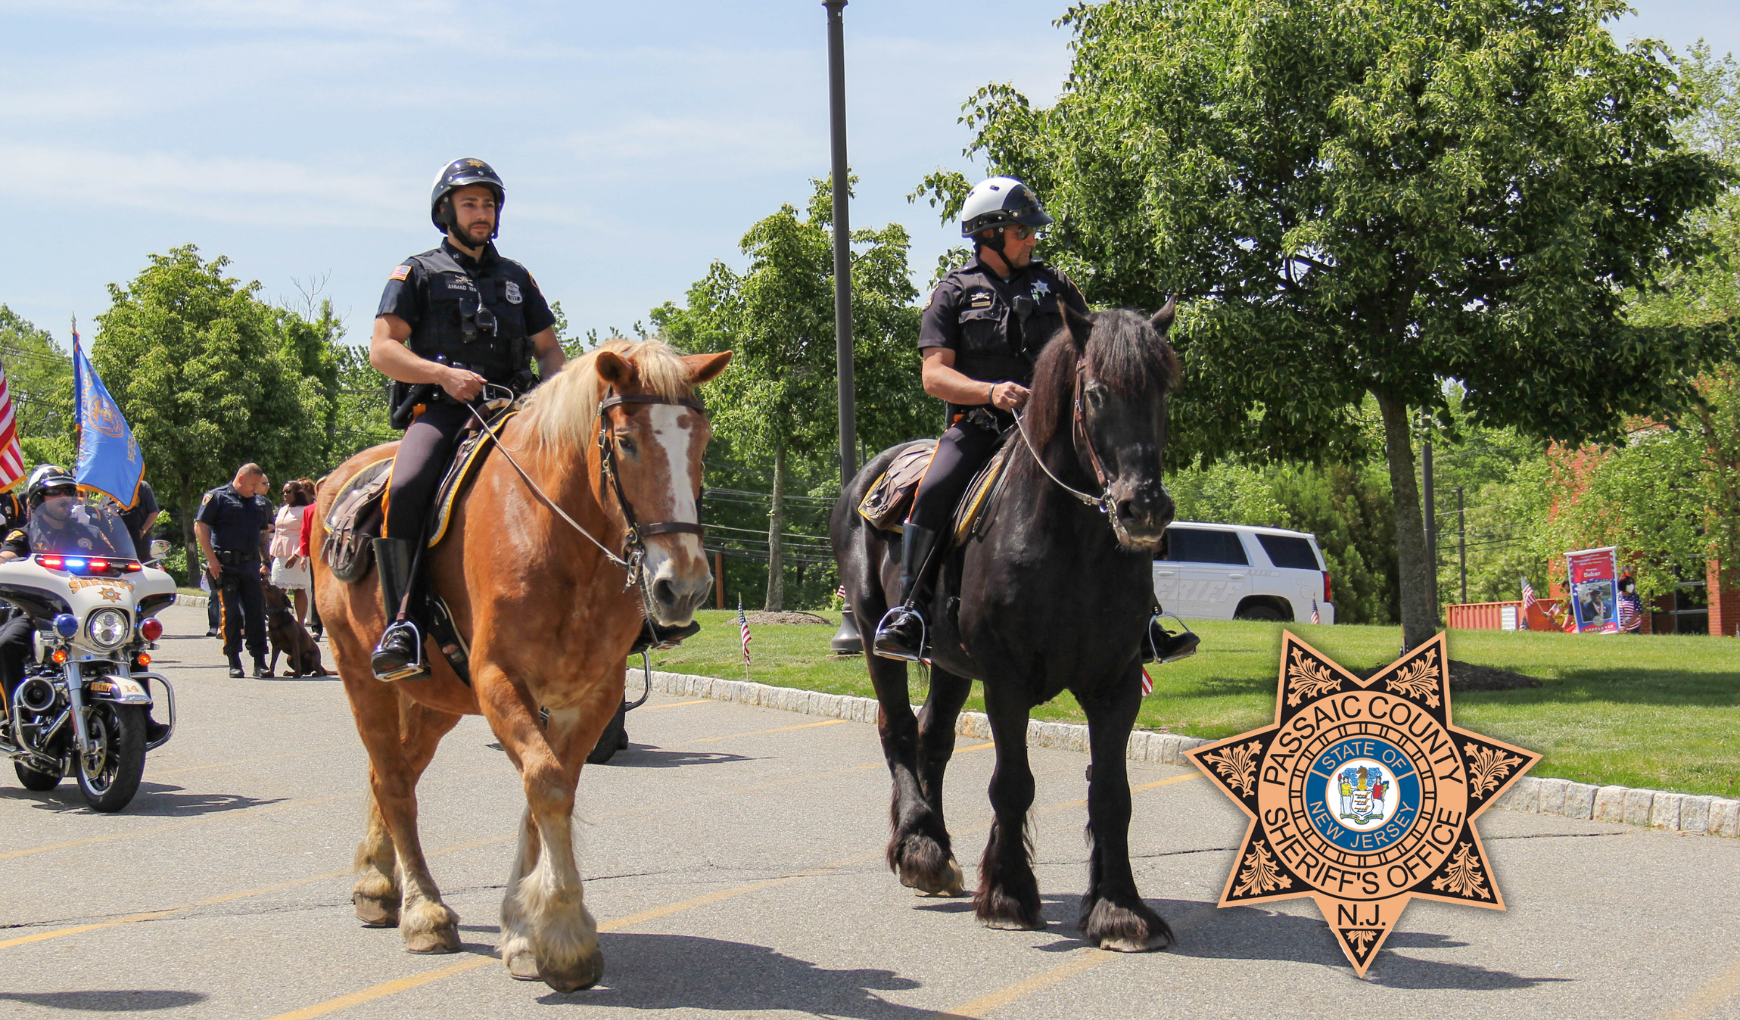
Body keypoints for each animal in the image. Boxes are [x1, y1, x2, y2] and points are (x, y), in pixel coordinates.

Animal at [313, 339, 727, 981]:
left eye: (701, 442)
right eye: (626, 440)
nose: (681, 588)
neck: (560, 539)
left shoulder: (588, 695)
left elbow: (549, 788)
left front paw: (525, 931)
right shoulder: (499, 679)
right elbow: (547, 784)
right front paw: (564, 934)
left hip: (437, 700)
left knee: (395, 771)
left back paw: (379, 883)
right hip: (363, 675)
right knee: (394, 779)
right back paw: (423, 911)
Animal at [828, 297, 1183, 946]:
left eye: (1162, 391)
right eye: (1096, 393)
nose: (1143, 507)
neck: (1070, 546)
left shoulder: (1117, 683)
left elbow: (1112, 794)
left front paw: (1120, 908)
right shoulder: (1007, 680)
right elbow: (1013, 783)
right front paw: (1011, 894)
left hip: (948, 662)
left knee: (933, 738)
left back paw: (937, 851)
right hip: (872, 637)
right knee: (898, 730)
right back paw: (920, 849)